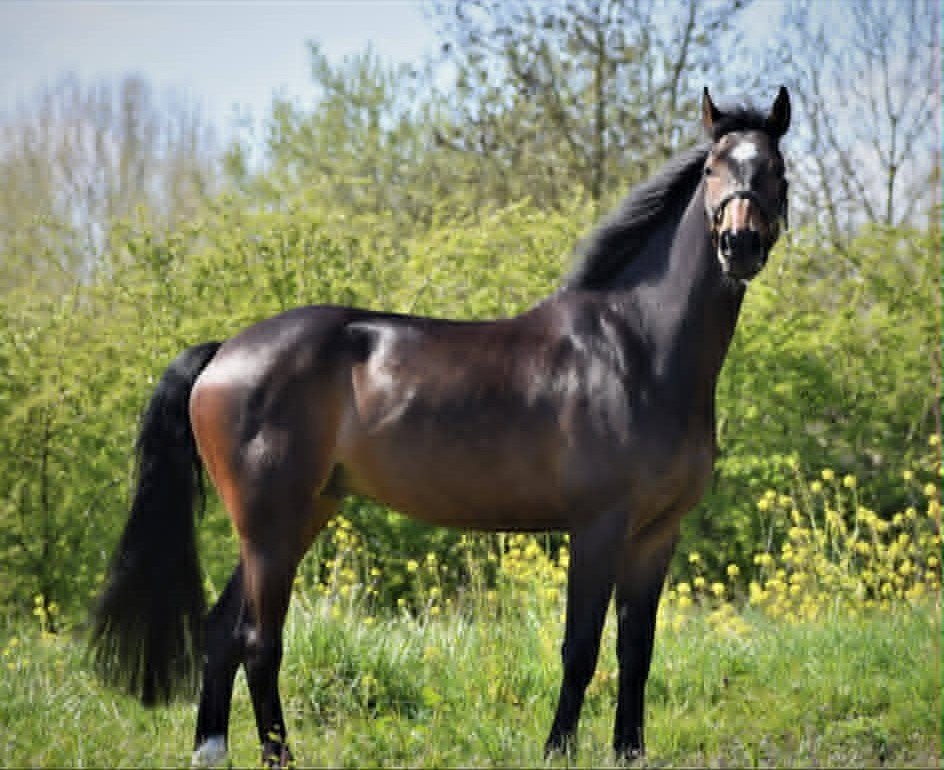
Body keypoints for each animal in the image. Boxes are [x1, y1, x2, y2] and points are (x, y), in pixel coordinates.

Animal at [90, 87, 791, 767]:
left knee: (223, 631)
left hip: (297, 516)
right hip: (269, 523)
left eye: (776, 169)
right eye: (712, 168)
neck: (635, 349)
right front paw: (558, 749)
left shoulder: (656, 533)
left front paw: (629, 752)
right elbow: (581, 646)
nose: (740, 246)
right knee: (260, 640)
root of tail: (223, 353)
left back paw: (211, 749)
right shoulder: (597, 526)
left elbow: (635, 649)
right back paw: (278, 755)